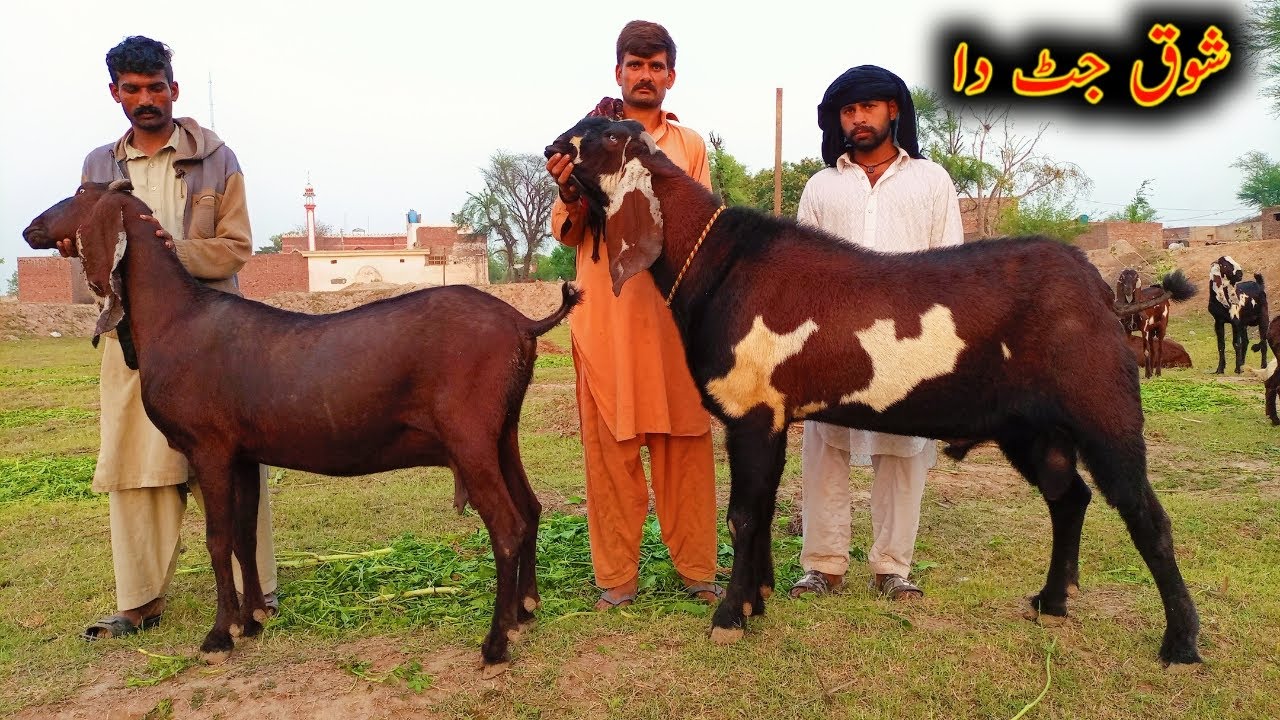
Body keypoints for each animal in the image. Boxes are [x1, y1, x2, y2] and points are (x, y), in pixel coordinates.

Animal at [23, 180, 582, 669]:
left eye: (79, 193)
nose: (30, 227)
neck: (176, 318)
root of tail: (523, 323)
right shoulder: (244, 454)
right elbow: (244, 536)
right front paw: (251, 622)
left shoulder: (210, 448)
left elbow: (218, 540)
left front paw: (218, 635)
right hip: (501, 432)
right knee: (530, 509)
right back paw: (524, 614)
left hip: (469, 438)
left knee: (507, 525)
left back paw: (495, 643)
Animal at [546, 116, 1201, 666]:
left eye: (605, 134)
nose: (554, 145)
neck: (720, 261)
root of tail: (1102, 294)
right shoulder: (776, 417)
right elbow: (761, 511)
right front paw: (758, 600)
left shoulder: (753, 413)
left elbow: (741, 515)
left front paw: (730, 617)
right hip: (1033, 430)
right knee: (1069, 499)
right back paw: (1052, 602)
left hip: (1104, 412)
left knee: (1147, 517)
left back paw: (1181, 643)